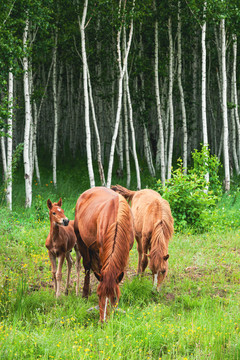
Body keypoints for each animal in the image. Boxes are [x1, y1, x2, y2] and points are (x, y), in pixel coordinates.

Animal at [74, 187, 135, 322]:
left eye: (115, 297)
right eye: (99, 295)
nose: (103, 322)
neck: (117, 219)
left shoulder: (126, 252)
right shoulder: (102, 250)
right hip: (81, 240)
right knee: (87, 266)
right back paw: (85, 294)